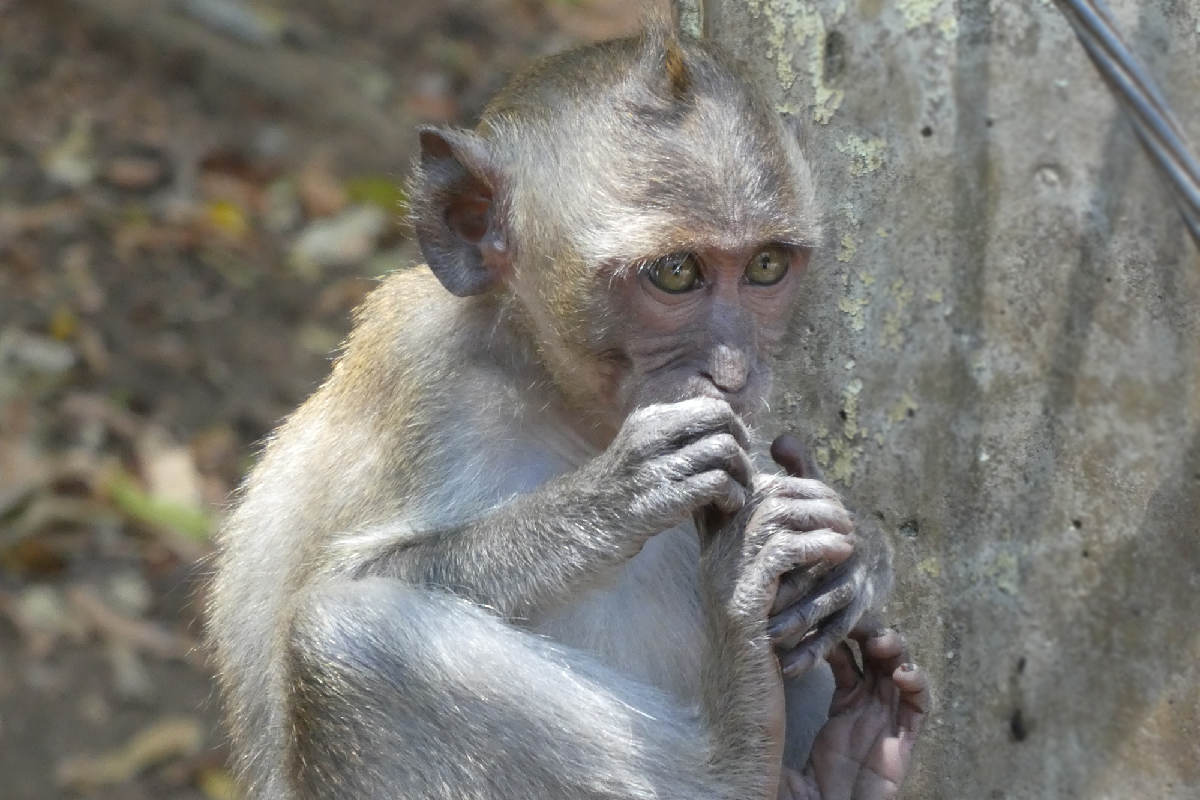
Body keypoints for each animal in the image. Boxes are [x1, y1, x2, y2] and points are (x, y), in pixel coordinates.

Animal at [208, 23, 926, 800]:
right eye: (676, 273)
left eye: (766, 266)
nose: (733, 373)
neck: (556, 394)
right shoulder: (424, 376)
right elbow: (340, 585)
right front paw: (612, 498)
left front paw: (851, 552)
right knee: (344, 636)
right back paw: (739, 754)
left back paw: (845, 765)